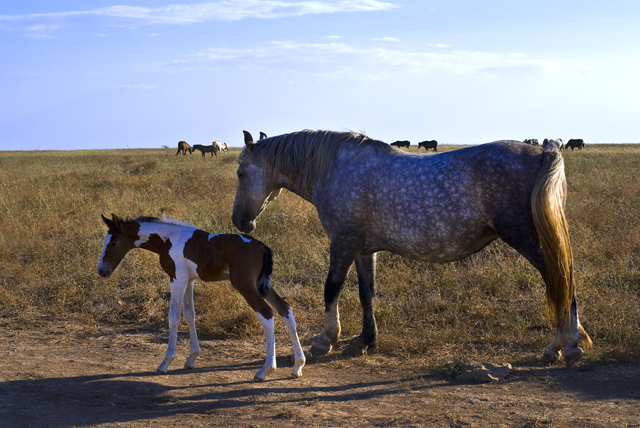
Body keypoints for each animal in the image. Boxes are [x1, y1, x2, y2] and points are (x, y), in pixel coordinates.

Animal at [95, 214, 304, 382]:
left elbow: (174, 316)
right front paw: (191, 358)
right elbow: (189, 313)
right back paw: (298, 366)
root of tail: (260, 245)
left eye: (112, 243)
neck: (168, 239)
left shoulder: (177, 278)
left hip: (245, 285)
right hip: (263, 285)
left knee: (267, 313)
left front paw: (165, 363)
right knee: (285, 308)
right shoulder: (189, 280)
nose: (101, 271)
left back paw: (265, 370)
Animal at [232, 129, 592, 366]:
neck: (336, 168)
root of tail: (544, 151)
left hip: (528, 238)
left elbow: (331, 288)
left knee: (560, 279)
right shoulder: (364, 250)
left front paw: (326, 339)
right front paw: (365, 340)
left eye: (240, 172)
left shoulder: (343, 244)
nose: (239, 221)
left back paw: (564, 343)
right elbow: (366, 293)